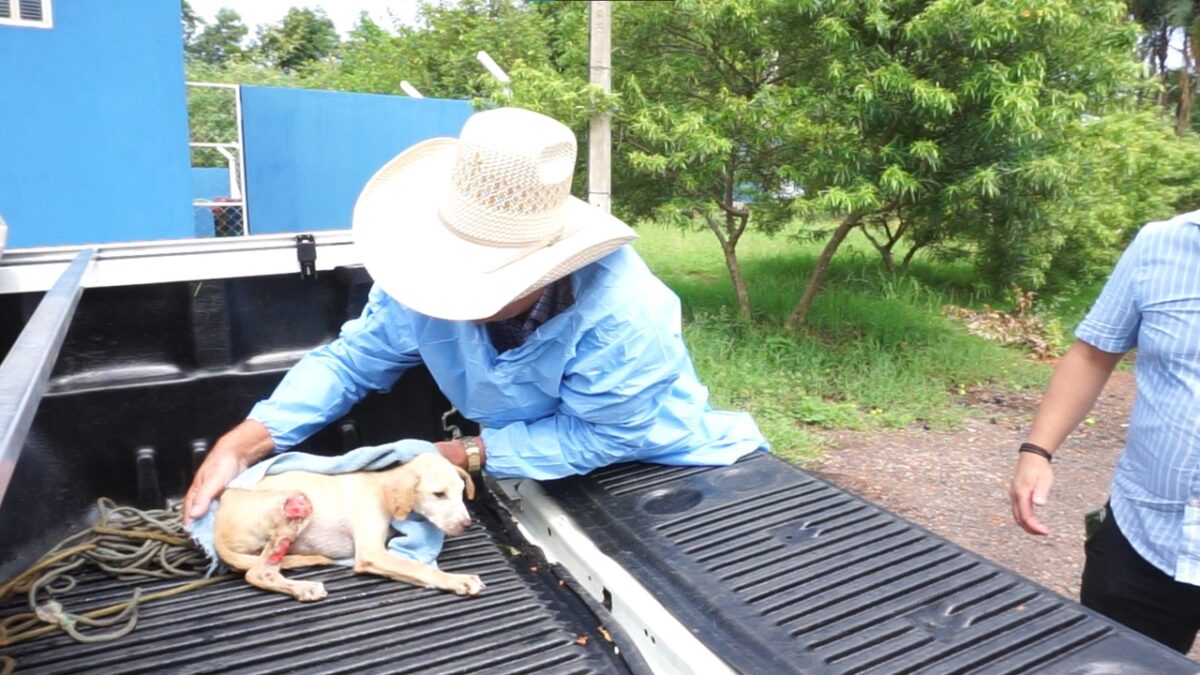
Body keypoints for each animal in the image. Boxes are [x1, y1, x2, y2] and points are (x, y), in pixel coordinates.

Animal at [213, 451, 484, 598]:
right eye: (438, 494)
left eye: (461, 491)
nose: (467, 525)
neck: (381, 486)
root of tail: (216, 528)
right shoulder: (371, 553)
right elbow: (419, 567)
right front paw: (456, 580)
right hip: (298, 501)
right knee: (258, 572)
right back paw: (304, 588)